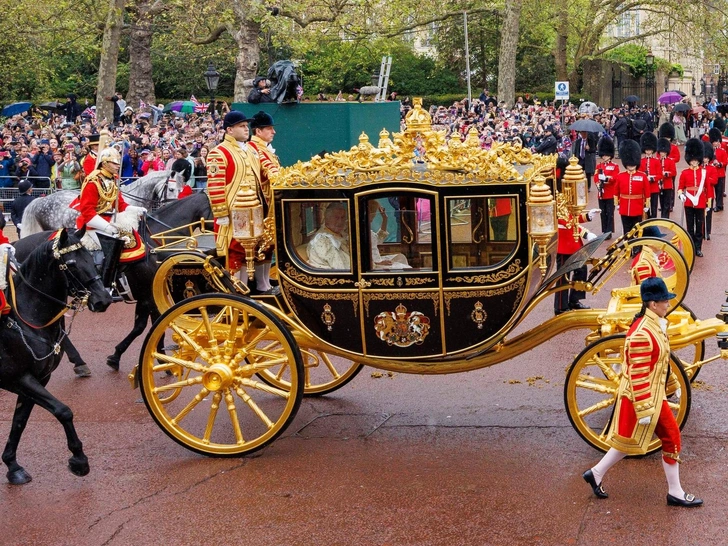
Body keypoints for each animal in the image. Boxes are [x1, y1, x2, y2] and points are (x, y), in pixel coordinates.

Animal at [0, 227, 112, 482]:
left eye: (91, 258)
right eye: (70, 264)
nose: (103, 299)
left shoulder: (39, 378)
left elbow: (19, 421)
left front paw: (13, 465)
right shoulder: (17, 377)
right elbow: (63, 411)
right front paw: (79, 460)